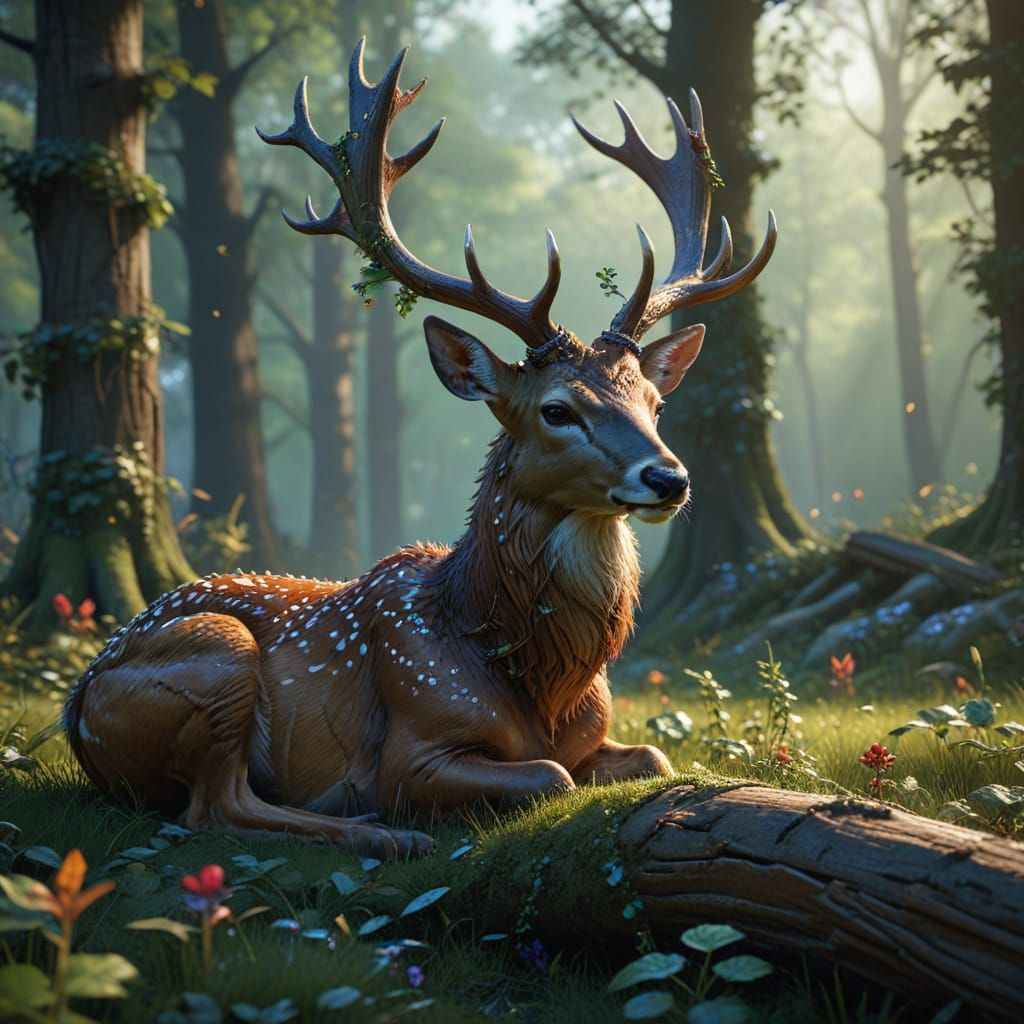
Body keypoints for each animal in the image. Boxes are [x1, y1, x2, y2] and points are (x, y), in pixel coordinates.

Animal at [64, 39, 776, 860]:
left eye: (655, 405)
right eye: (557, 410)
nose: (669, 478)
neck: (536, 678)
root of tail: (74, 709)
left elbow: (652, 755)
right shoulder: (415, 740)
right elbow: (549, 777)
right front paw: (395, 812)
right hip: (218, 657)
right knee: (213, 808)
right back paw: (382, 831)